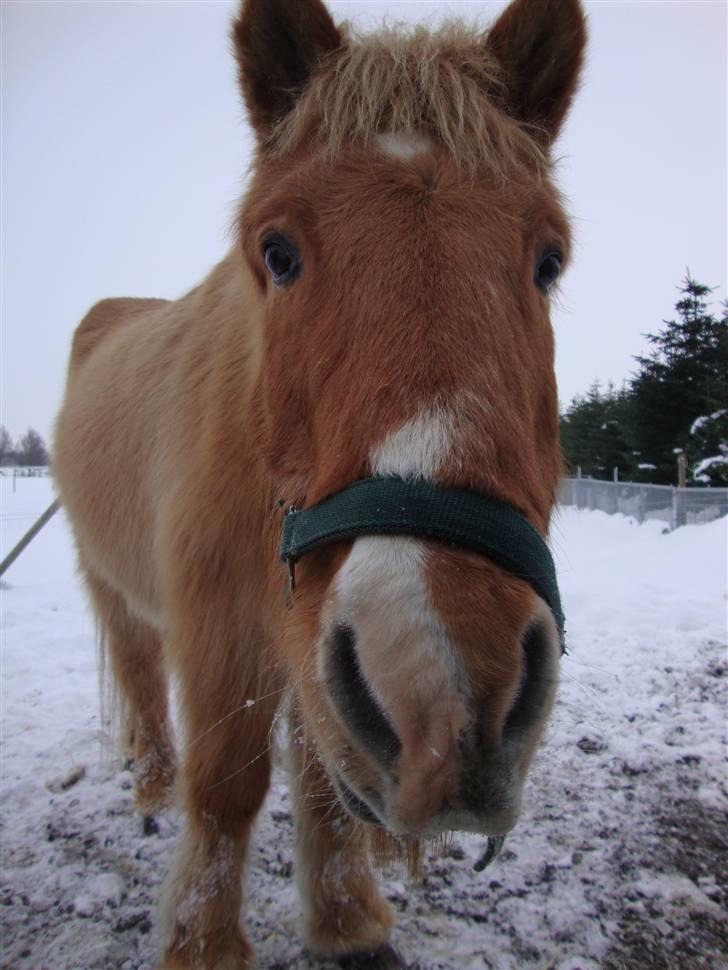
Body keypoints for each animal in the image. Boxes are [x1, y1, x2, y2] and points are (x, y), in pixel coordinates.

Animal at [52, 1, 584, 960]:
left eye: (550, 260)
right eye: (278, 252)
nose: (443, 680)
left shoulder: (318, 642)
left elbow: (322, 786)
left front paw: (346, 924)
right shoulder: (222, 629)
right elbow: (227, 787)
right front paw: (202, 944)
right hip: (111, 584)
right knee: (142, 680)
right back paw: (150, 790)